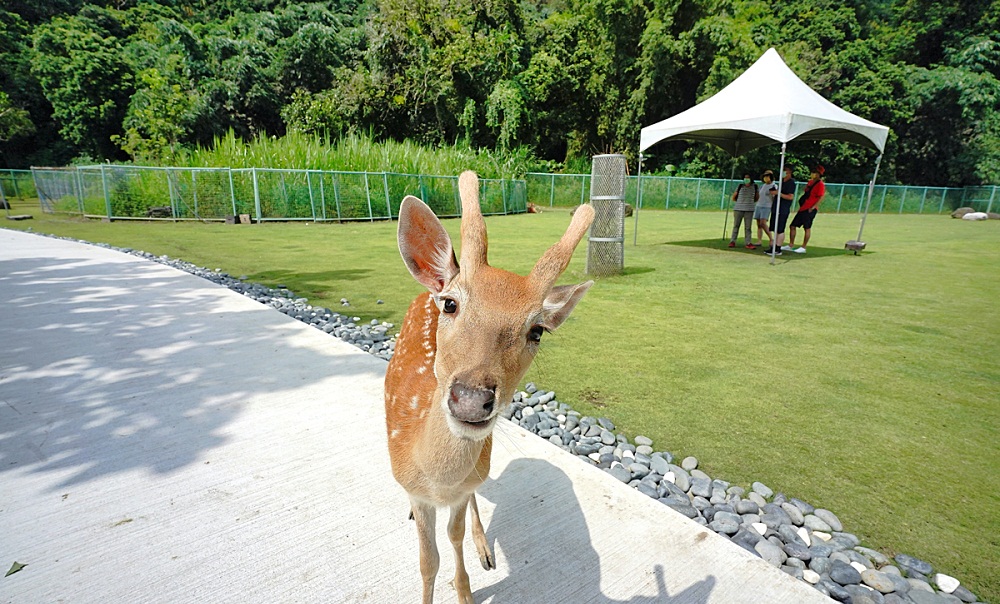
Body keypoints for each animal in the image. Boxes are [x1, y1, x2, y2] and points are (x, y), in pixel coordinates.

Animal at [382, 171, 592, 604]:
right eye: (451, 304)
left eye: (537, 330)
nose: (470, 400)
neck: (435, 479)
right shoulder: (414, 489)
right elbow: (427, 561)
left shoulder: (462, 490)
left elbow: (454, 534)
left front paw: (466, 590)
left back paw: (483, 548)